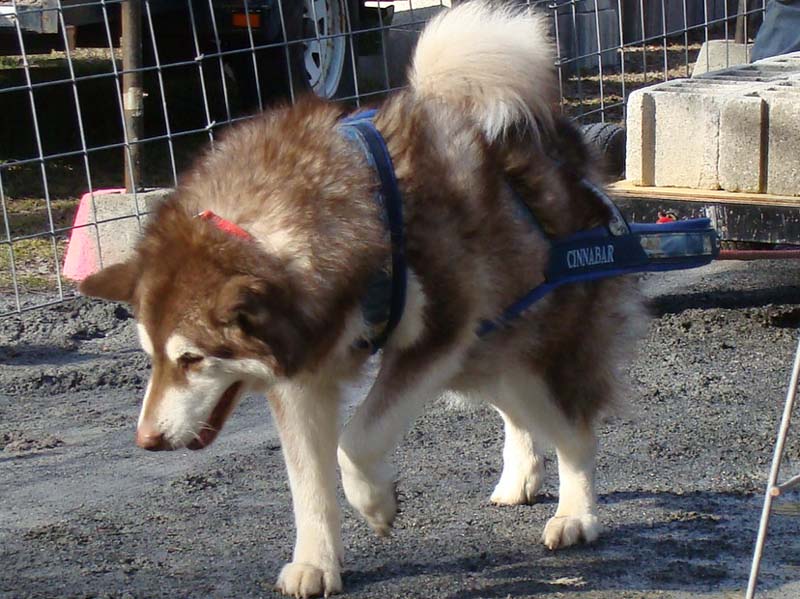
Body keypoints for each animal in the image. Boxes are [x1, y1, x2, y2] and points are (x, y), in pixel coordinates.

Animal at [81, 2, 644, 596]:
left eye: (191, 359)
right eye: (151, 357)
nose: (147, 440)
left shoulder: (436, 338)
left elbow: (355, 441)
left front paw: (376, 504)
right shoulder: (302, 371)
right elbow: (308, 481)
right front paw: (316, 561)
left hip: (536, 348)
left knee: (575, 429)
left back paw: (576, 512)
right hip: (485, 354)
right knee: (518, 411)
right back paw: (520, 477)